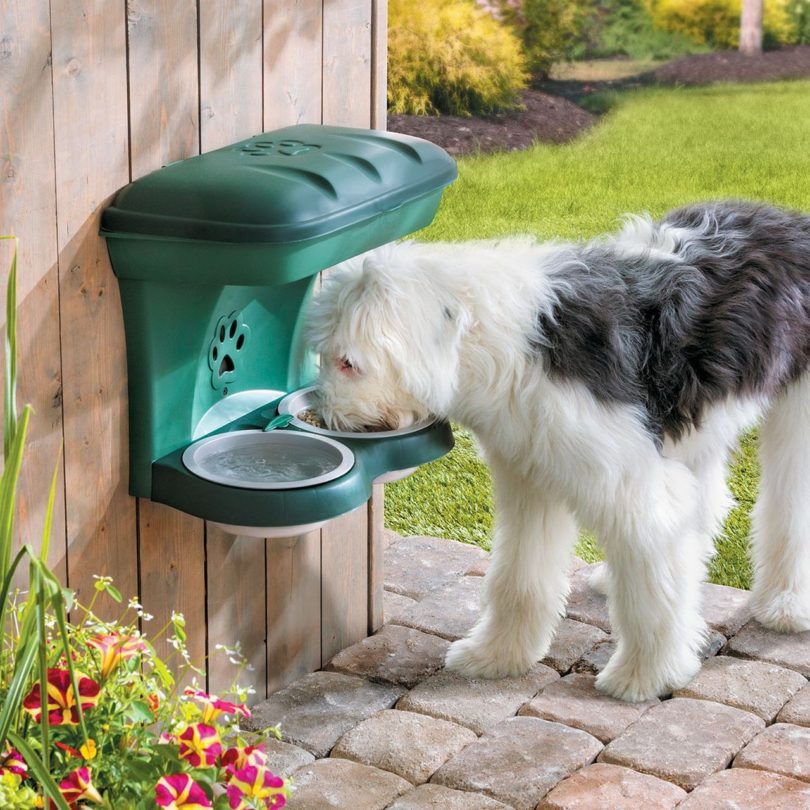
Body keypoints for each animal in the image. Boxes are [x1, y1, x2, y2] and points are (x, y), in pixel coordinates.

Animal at [304, 200, 808, 700]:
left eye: (348, 362)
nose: (328, 418)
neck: (510, 344)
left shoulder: (632, 487)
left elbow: (652, 591)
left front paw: (646, 676)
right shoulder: (531, 478)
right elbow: (518, 576)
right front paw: (496, 656)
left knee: (786, 506)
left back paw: (785, 606)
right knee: (705, 505)